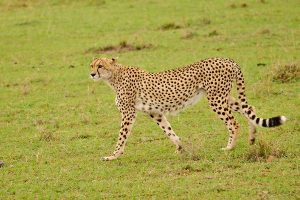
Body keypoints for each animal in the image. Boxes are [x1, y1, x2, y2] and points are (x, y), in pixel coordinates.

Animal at [90, 57, 288, 161]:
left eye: (100, 65)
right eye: (91, 65)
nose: (91, 74)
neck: (114, 76)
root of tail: (227, 60)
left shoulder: (128, 113)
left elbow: (121, 137)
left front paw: (113, 155)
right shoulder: (155, 112)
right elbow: (169, 131)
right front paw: (180, 148)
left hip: (216, 99)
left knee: (233, 122)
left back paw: (229, 147)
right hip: (223, 97)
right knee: (249, 109)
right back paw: (252, 137)